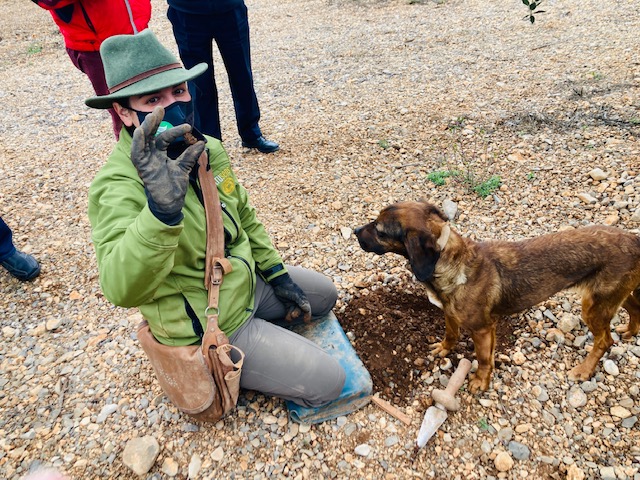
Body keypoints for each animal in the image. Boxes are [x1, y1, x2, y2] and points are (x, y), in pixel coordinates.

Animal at [356, 201, 640, 392]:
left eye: (380, 231)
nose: (356, 231)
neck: (450, 261)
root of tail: (634, 240)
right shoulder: (450, 313)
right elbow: (450, 334)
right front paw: (445, 349)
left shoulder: (483, 329)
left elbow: (483, 358)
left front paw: (481, 381)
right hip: (615, 294)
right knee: (635, 307)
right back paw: (629, 331)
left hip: (595, 305)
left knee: (604, 341)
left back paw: (584, 369)